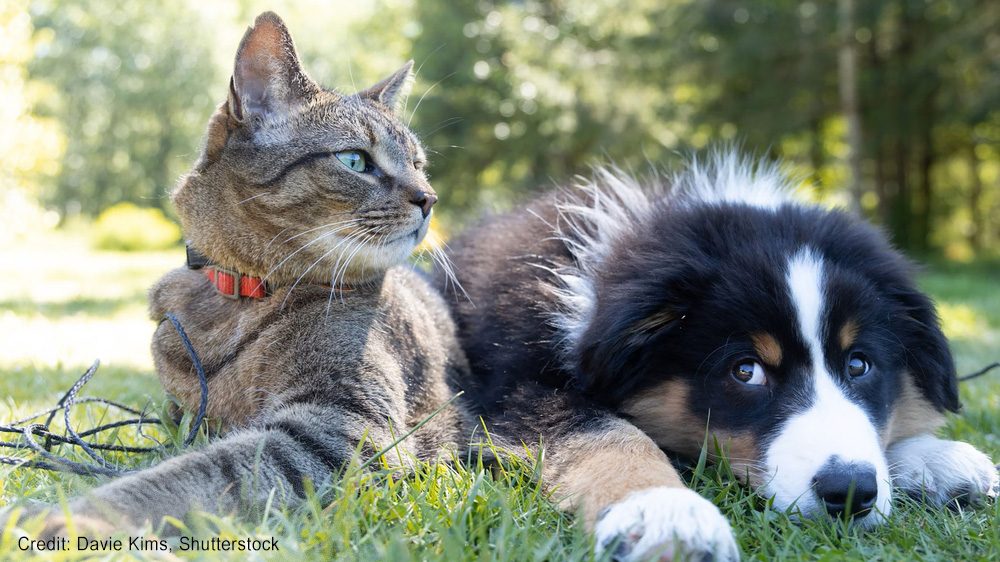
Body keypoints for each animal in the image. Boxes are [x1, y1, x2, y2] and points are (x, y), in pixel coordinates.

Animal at [4, 10, 468, 532]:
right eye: (354, 160)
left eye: (418, 164)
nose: (429, 198)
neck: (240, 295)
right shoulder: (186, 414)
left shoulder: (343, 427)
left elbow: (191, 475)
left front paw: (71, 519)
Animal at [444, 152, 1000, 560]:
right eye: (745, 371)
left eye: (859, 364)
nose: (849, 492)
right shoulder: (515, 388)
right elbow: (608, 435)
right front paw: (665, 513)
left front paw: (934, 459)